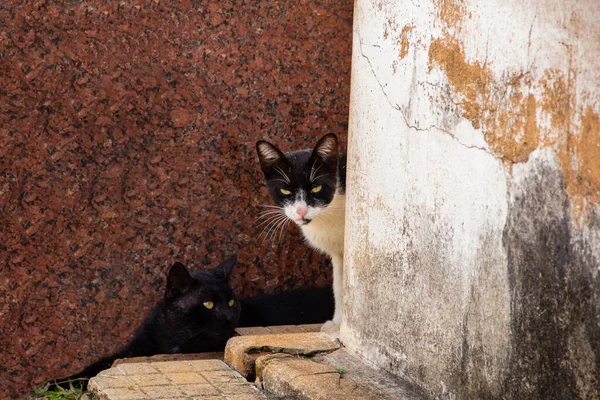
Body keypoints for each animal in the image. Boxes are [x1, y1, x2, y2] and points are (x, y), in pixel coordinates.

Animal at [254, 134, 346, 332]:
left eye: (316, 188)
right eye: (285, 190)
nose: (301, 211)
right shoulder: (338, 253)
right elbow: (339, 284)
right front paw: (337, 324)